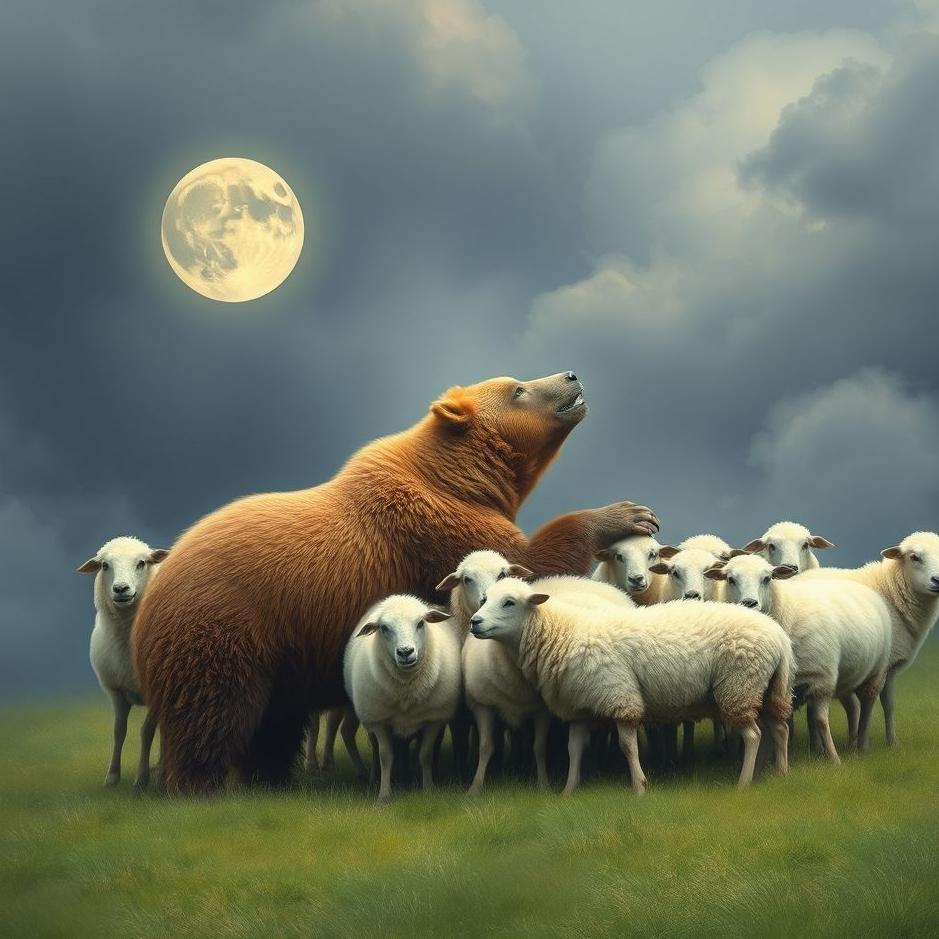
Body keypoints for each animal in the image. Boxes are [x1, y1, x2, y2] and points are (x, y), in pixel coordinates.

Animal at [77, 536, 168, 788]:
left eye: (141, 563)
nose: (121, 589)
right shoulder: (116, 690)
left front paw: (142, 779)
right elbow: (119, 730)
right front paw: (112, 776)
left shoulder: (155, 689)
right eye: (105, 565)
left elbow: (146, 731)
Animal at [343, 594, 461, 801]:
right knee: (377, 749)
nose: (405, 652)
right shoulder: (379, 722)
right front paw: (384, 795)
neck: (406, 689)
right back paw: (377, 777)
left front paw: (428, 788)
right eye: (384, 628)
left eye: (420, 623)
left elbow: (425, 755)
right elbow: (385, 756)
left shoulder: (434, 720)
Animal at [469, 577, 793, 794]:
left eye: (509, 602)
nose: (474, 622)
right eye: (485, 599)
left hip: (739, 686)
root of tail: (779, 637)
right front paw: (568, 790)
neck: (562, 633)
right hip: (766, 688)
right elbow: (574, 749)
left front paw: (639, 786)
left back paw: (744, 782)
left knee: (753, 735)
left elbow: (627, 746)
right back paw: (780, 773)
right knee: (778, 729)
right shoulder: (578, 708)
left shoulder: (620, 697)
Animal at [708, 554, 892, 760]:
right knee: (852, 706)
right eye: (730, 579)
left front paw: (834, 758)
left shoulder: (823, 680)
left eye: (767, 578)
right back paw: (846, 744)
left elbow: (821, 720)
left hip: (877, 670)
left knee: (867, 704)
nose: (749, 603)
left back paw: (861, 745)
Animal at [801, 532, 939, 747]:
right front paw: (862, 745)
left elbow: (889, 704)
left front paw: (893, 743)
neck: (891, 592)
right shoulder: (879, 665)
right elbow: (868, 702)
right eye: (914, 557)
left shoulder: (890, 666)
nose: (938, 580)